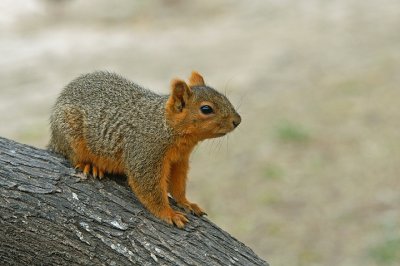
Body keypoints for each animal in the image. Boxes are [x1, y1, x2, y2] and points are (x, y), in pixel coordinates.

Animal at [49, 71, 244, 229]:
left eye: (223, 97)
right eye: (206, 109)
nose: (237, 120)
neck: (165, 126)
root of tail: (54, 139)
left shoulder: (179, 160)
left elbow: (177, 185)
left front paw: (186, 203)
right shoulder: (145, 152)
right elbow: (148, 187)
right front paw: (169, 213)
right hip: (71, 135)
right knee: (72, 155)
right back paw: (89, 165)